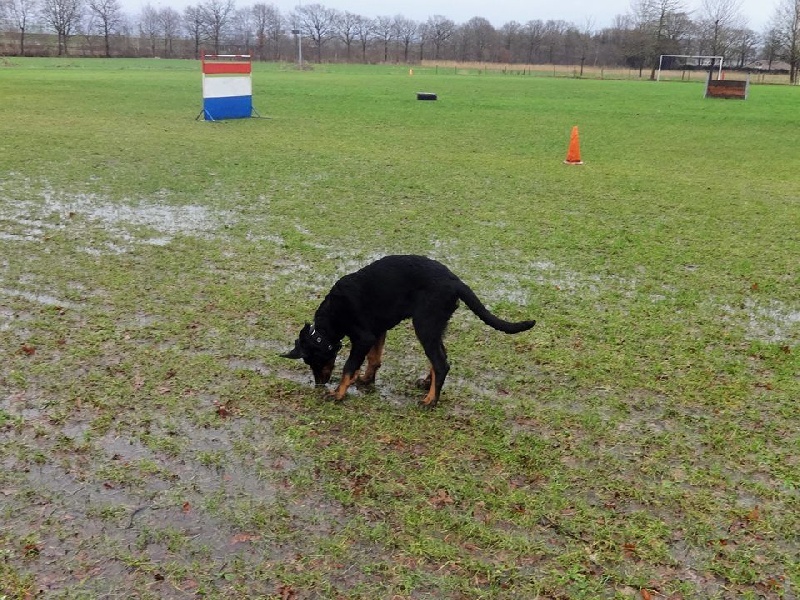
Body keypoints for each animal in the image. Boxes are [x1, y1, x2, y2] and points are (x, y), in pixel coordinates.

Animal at [282, 255, 536, 406]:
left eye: (312, 362)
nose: (319, 384)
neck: (332, 318)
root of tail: (456, 282)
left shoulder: (363, 338)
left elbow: (348, 367)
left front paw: (338, 393)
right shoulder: (378, 332)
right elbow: (374, 359)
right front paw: (366, 380)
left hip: (424, 325)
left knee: (441, 363)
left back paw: (430, 400)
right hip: (435, 326)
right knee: (441, 358)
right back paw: (427, 384)